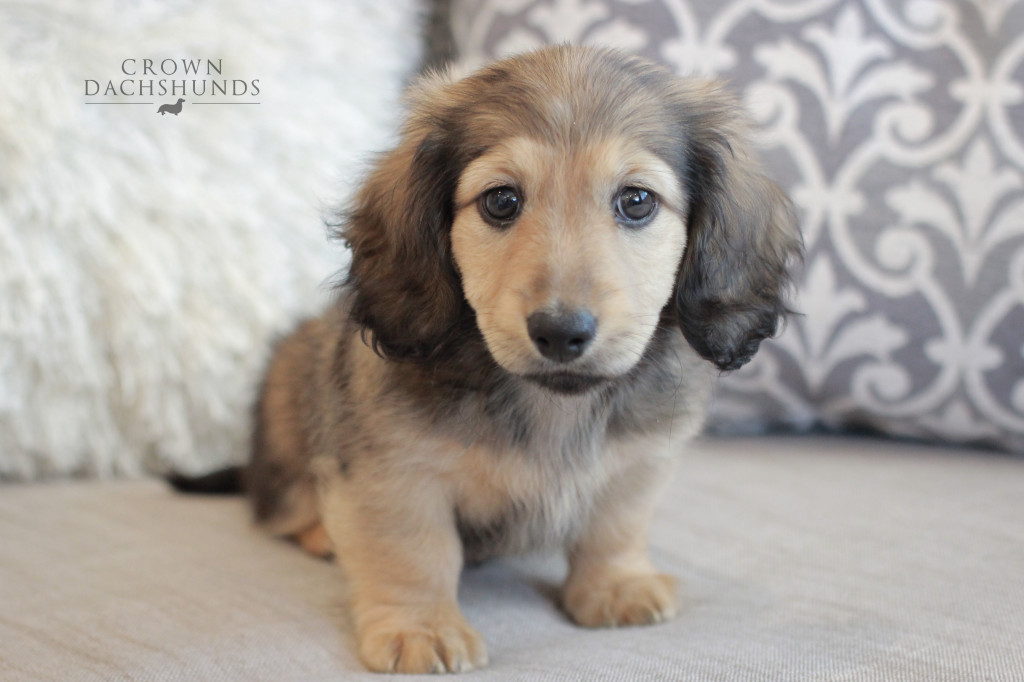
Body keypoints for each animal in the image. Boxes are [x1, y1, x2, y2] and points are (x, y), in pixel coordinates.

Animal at [178, 46, 798, 667]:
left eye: (637, 201)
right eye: (501, 201)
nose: (561, 333)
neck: (550, 406)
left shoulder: (639, 462)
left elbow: (615, 525)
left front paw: (615, 585)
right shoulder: (394, 472)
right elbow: (413, 552)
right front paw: (419, 626)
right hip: (286, 400)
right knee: (282, 506)